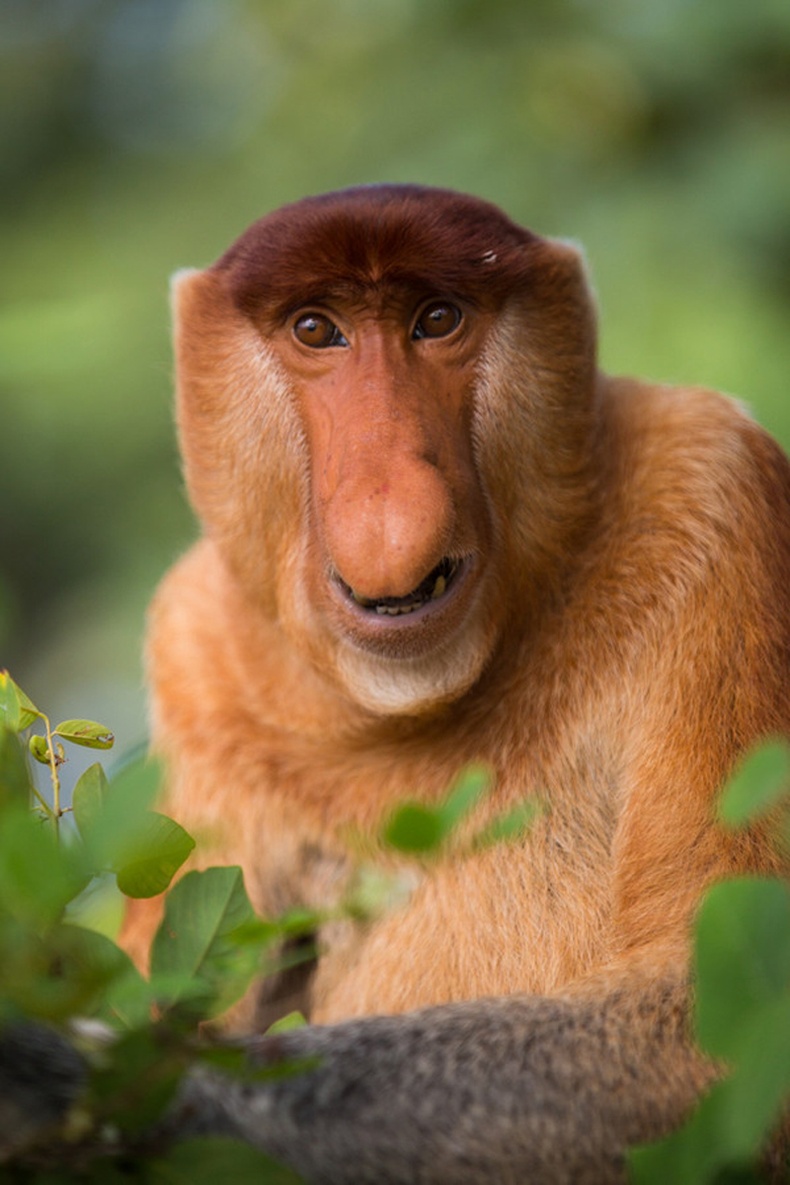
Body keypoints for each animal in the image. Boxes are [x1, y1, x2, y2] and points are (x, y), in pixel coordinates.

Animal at [120, 184, 790, 1185]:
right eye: (316, 329)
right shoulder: (196, 646)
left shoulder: (715, 496)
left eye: (437, 319)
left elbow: (719, 1020)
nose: (389, 501)